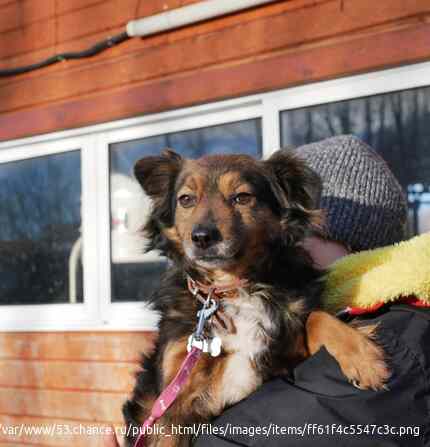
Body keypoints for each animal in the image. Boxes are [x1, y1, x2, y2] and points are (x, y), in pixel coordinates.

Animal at [122, 150, 388, 447]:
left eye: (242, 197)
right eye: (186, 199)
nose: (201, 237)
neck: (230, 289)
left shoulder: (288, 358)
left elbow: (315, 317)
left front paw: (363, 359)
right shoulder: (173, 402)